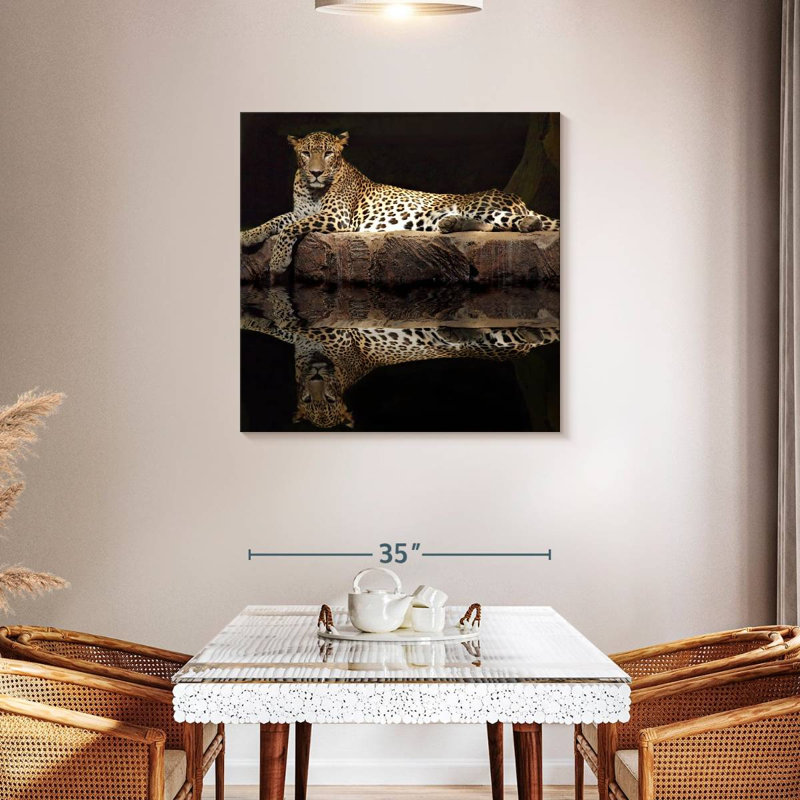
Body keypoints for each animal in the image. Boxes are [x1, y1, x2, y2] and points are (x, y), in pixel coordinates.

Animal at [240, 131, 560, 274]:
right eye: (306, 153)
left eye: (329, 153)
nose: (316, 172)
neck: (311, 189)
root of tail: (516, 196)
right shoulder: (300, 212)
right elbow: (276, 221)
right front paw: (247, 236)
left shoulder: (336, 218)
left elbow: (288, 230)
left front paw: (279, 261)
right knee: (490, 226)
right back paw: (450, 223)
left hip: (479, 205)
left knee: (509, 222)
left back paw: (526, 222)